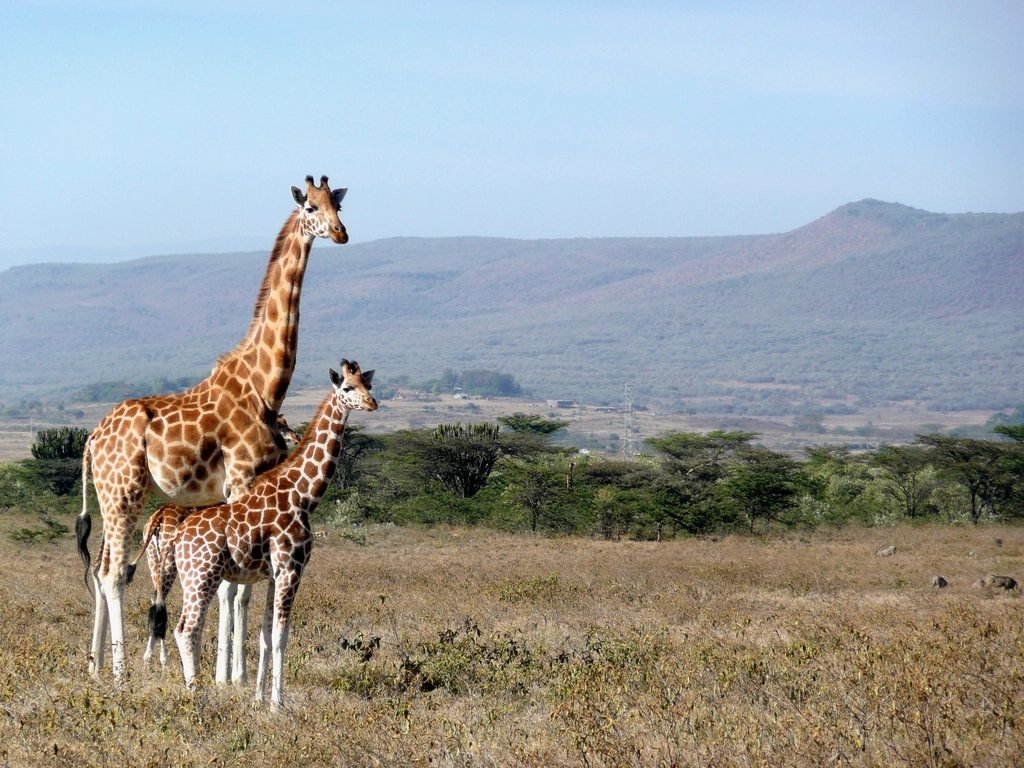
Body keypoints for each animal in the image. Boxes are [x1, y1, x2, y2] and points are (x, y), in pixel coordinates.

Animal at [77, 175, 348, 681]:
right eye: (310, 208)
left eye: (338, 205)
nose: (341, 233)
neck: (266, 384)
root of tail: (91, 439)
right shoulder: (241, 478)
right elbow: (234, 588)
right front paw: (232, 677)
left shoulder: (243, 489)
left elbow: (235, 586)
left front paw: (229, 674)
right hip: (125, 490)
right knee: (113, 573)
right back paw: (121, 675)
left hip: (113, 494)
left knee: (103, 568)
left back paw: (95, 668)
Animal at [151, 360, 377, 709]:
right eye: (347, 387)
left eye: (369, 384)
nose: (372, 403)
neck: (303, 494)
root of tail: (178, 537)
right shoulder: (290, 569)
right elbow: (282, 636)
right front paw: (277, 704)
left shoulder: (273, 574)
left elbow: (266, 636)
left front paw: (259, 698)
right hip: (202, 576)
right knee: (186, 629)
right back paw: (197, 694)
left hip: (190, 577)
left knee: (184, 627)